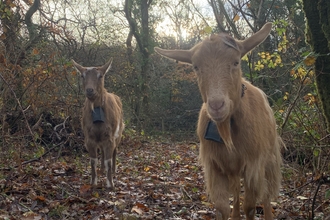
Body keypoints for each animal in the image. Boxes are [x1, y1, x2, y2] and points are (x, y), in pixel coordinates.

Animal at [72, 58, 124, 189]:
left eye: (100, 76)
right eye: (82, 75)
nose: (90, 90)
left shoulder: (110, 136)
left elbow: (108, 160)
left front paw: (110, 184)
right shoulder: (89, 137)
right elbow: (93, 160)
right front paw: (93, 182)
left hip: (119, 132)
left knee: (115, 150)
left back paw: (113, 171)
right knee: (102, 150)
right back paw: (101, 170)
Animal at [154, 22, 282, 220]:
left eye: (236, 62)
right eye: (196, 67)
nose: (216, 105)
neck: (226, 129)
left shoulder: (254, 165)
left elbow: (250, 206)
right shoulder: (215, 166)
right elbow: (223, 207)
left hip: (269, 159)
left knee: (267, 195)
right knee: (236, 194)